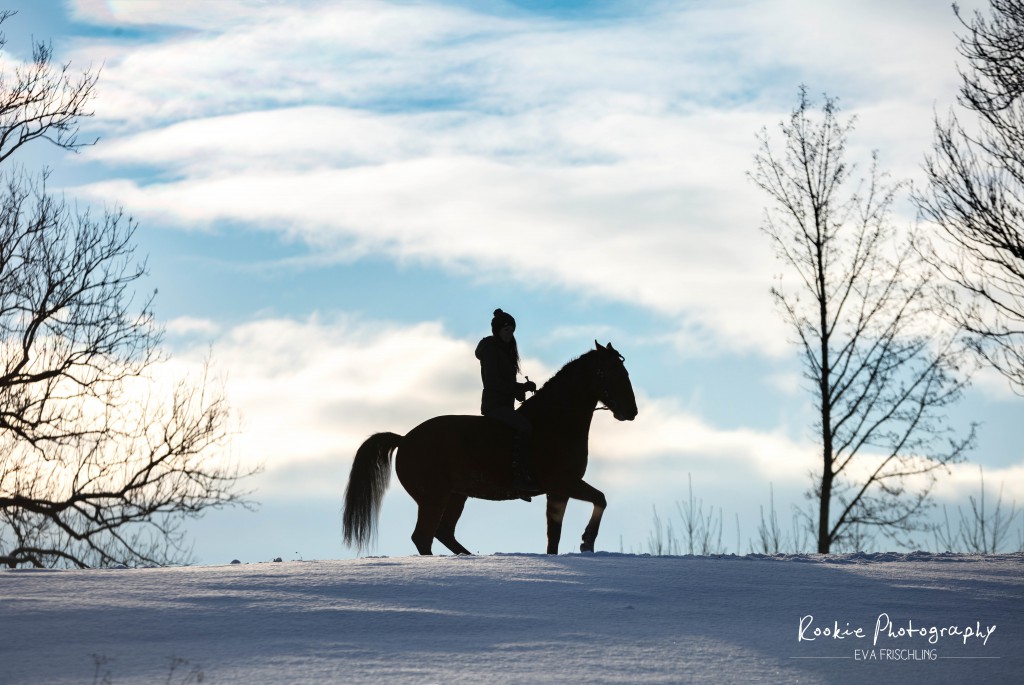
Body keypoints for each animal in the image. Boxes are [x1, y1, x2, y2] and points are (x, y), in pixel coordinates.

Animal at [339, 339, 634, 552]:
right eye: (607, 372)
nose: (631, 411)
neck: (555, 420)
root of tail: (405, 439)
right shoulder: (563, 483)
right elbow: (600, 499)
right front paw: (587, 541)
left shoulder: (559, 491)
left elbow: (555, 535)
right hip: (434, 497)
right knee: (423, 536)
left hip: (455, 496)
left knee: (443, 533)